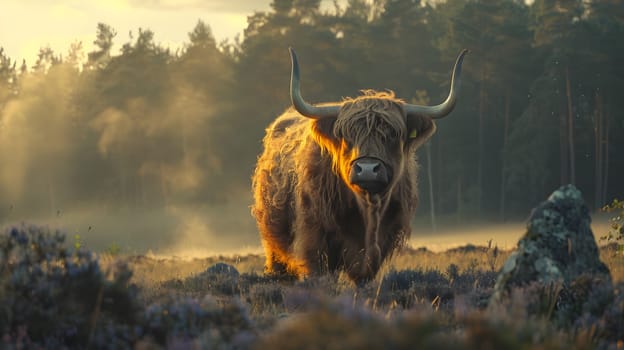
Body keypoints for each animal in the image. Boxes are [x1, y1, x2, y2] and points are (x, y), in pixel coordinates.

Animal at [251, 47, 466, 284]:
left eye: (392, 133)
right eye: (346, 134)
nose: (368, 170)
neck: (368, 211)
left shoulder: (383, 242)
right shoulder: (313, 242)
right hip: (274, 243)